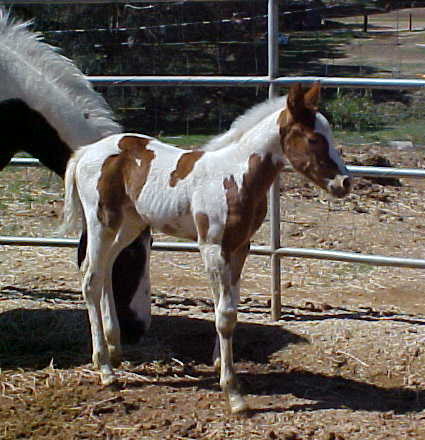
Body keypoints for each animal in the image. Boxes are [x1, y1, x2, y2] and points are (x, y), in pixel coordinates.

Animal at [61, 82, 350, 412]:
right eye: (314, 138)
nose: (345, 182)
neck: (234, 175)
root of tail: (86, 152)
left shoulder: (240, 247)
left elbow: (230, 309)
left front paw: (218, 363)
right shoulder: (213, 248)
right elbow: (224, 314)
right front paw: (233, 394)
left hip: (130, 223)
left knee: (106, 269)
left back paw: (115, 350)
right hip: (102, 221)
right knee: (91, 277)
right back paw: (105, 369)